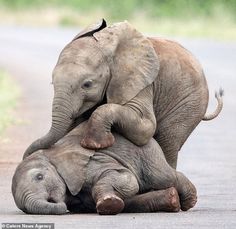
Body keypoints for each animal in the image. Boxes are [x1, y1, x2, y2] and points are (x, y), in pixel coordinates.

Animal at [12, 123, 197, 215]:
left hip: (147, 153)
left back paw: (189, 200)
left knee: (163, 177)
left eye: (39, 177)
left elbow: (127, 178)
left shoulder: (91, 163)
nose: (61, 206)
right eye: (24, 209)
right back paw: (173, 200)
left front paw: (108, 204)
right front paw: (110, 204)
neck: (51, 155)